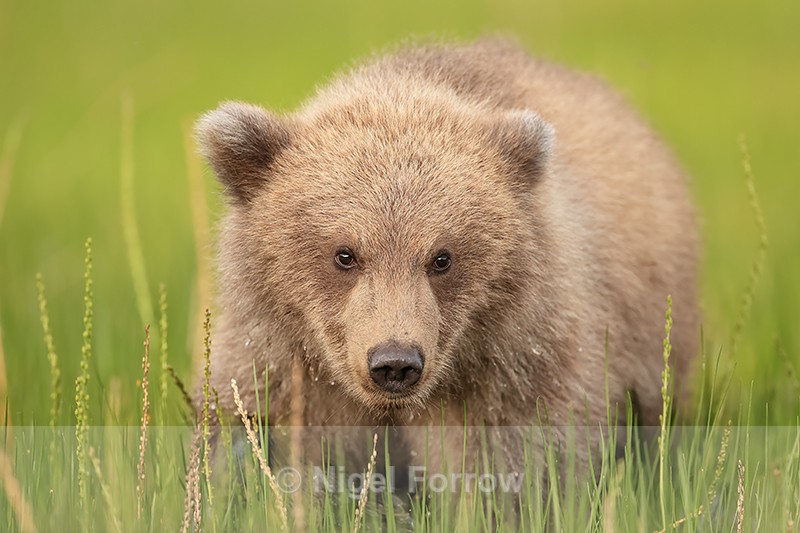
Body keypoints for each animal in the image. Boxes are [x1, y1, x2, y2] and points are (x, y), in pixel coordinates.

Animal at [194, 37, 698, 481]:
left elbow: (515, 460)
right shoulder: (286, 364)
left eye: (442, 257)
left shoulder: (516, 362)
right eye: (345, 254)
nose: (394, 362)